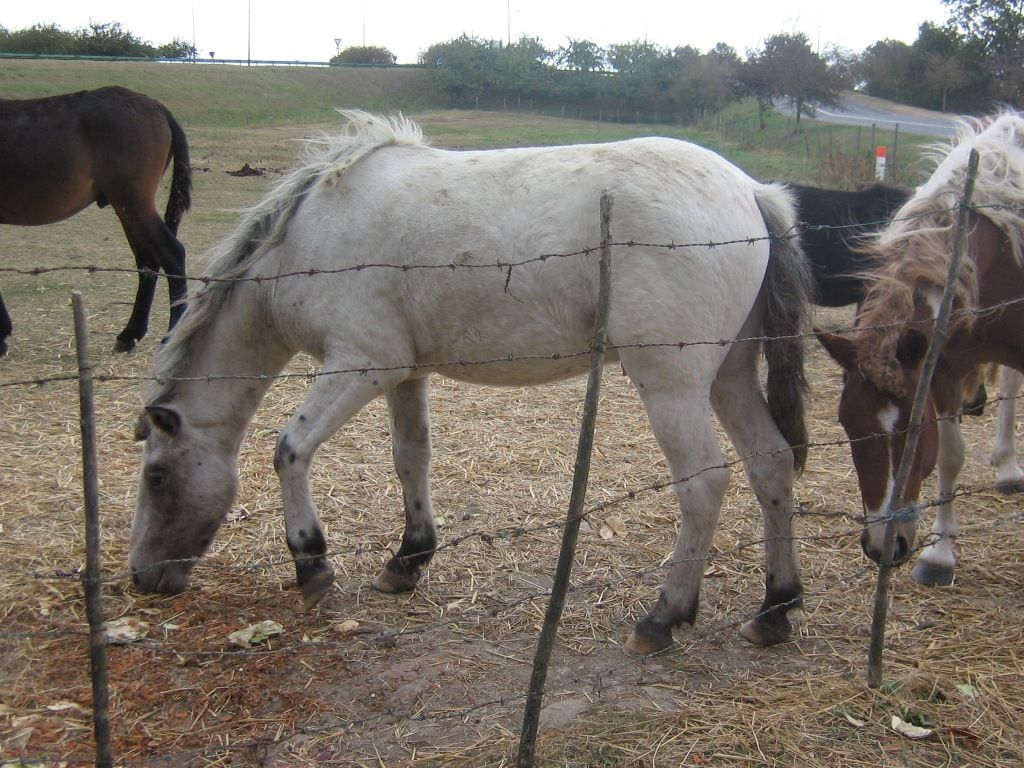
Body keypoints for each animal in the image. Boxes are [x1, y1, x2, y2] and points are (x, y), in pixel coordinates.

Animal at [0, 86, 192, 356]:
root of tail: (157, 107)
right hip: (127, 207)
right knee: (147, 261)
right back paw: (130, 334)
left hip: (133, 202)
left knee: (171, 254)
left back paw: (170, 335)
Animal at [129, 111, 813, 654]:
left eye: (156, 477)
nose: (141, 578)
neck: (306, 239)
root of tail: (751, 191)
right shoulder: (405, 374)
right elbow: (411, 457)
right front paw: (408, 559)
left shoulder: (360, 364)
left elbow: (290, 450)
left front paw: (311, 562)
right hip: (729, 376)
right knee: (770, 463)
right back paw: (774, 608)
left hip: (673, 384)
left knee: (705, 483)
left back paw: (664, 616)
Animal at [816, 111, 1024, 586]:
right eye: (847, 424)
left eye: (911, 428)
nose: (882, 546)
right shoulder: (943, 370)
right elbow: (950, 456)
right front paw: (940, 555)